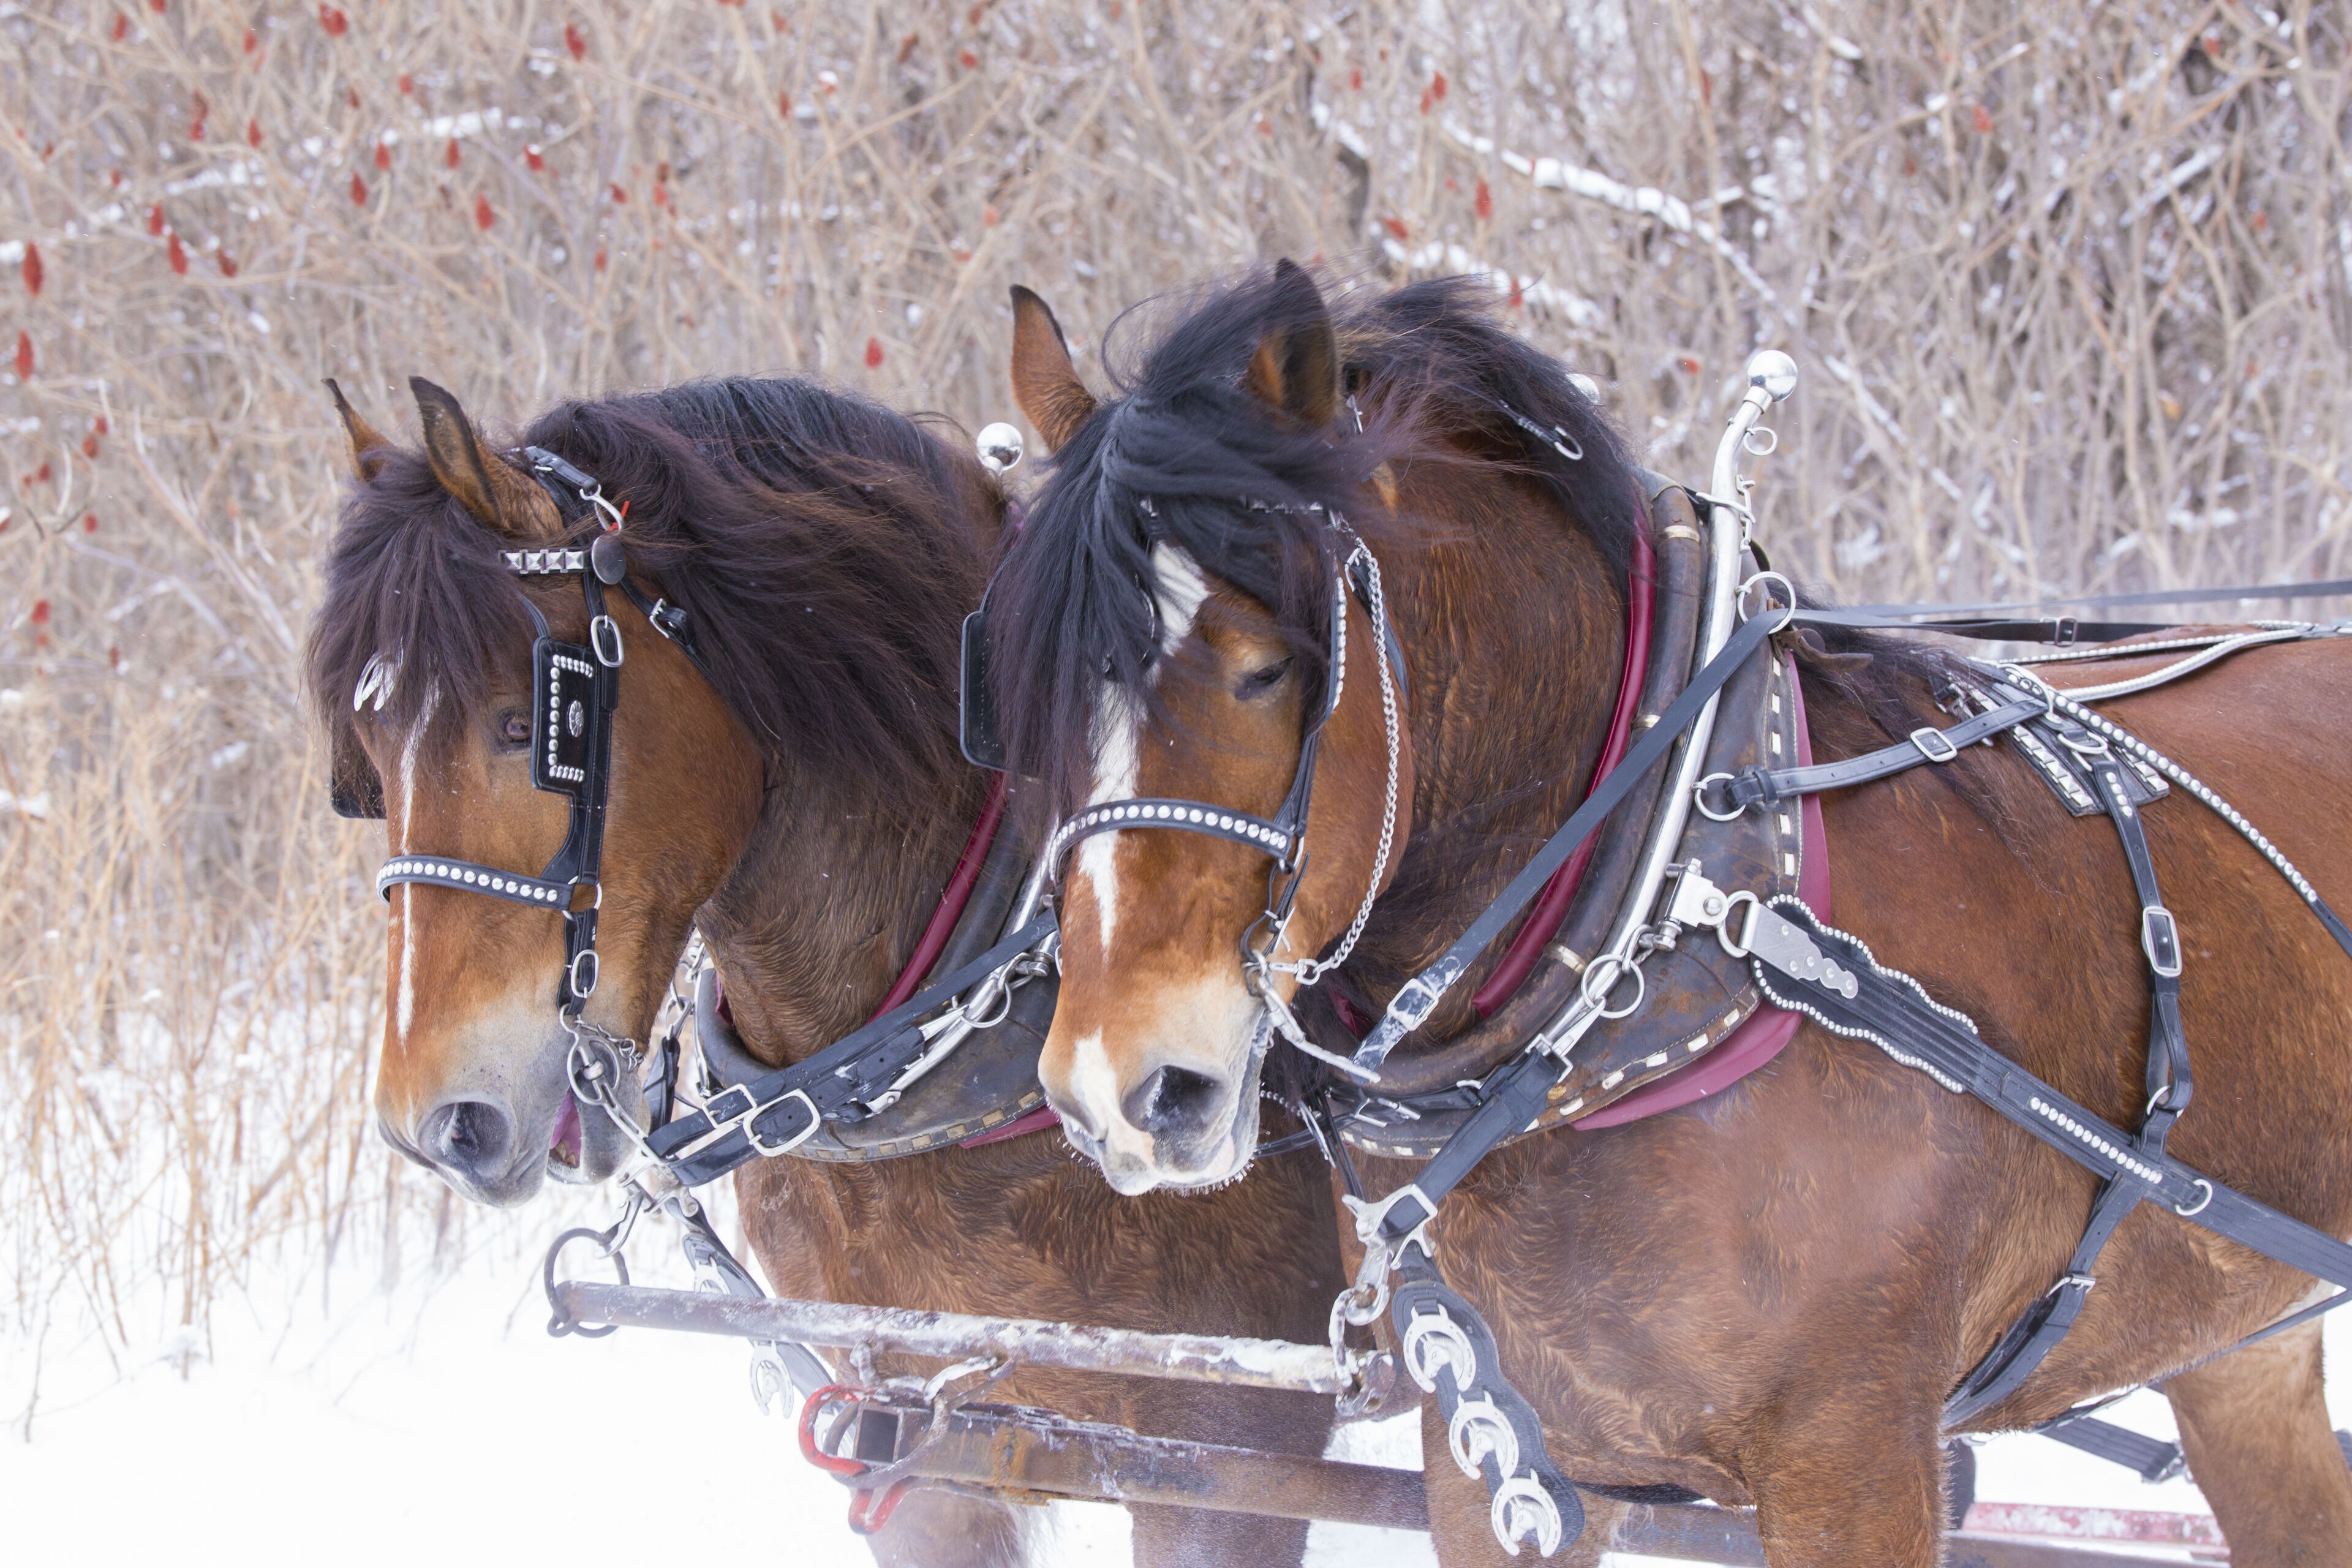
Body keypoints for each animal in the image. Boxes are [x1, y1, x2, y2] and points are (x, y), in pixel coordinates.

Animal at [981, 262, 2352, 1565]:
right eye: (1020, 693)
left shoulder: (1854, 1462)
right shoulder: (1504, 1466)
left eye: (1267, 668)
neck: (1674, 914)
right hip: (2237, 1337)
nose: (1121, 1088)